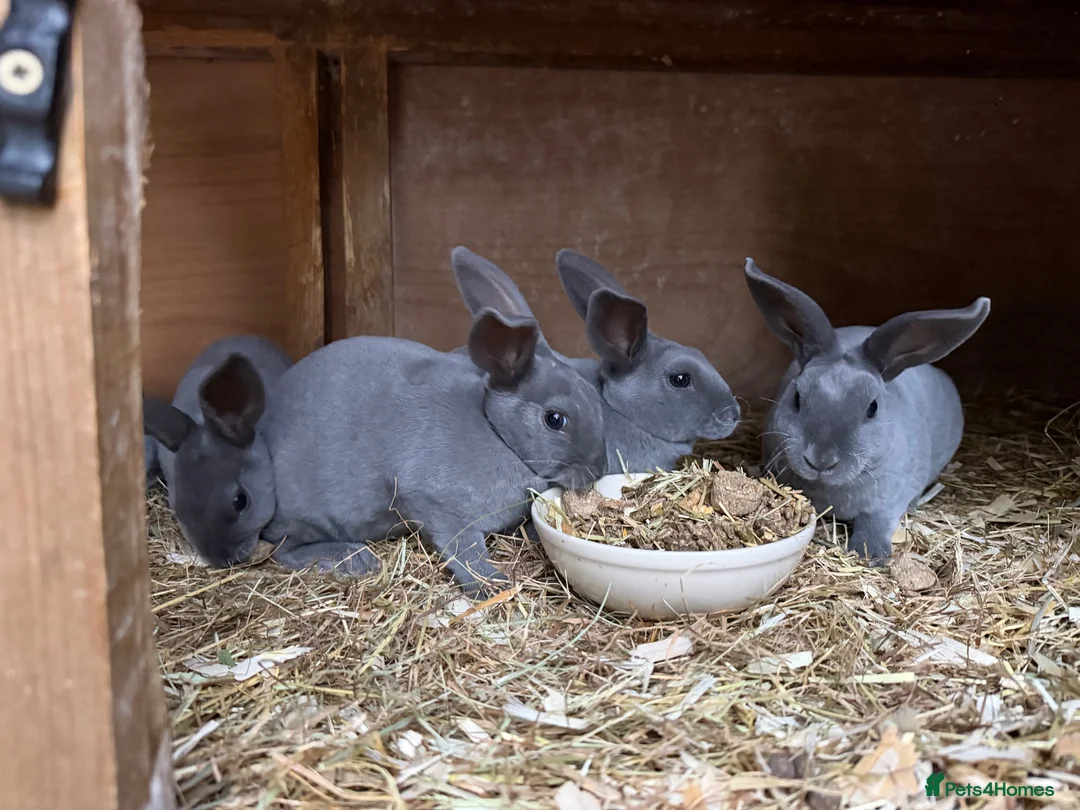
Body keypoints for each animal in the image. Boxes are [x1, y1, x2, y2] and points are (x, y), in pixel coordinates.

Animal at [257, 246, 608, 597]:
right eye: (555, 419)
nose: (598, 470)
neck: (495, 431)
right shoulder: (437, 505)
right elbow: (464, 550)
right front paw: (492, 584)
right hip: (306, 516)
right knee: (284, 550)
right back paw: (352, 558)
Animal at [744, 258, 990, 564]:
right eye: (797, 397)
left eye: (872, 407)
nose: (820, 460)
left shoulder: (889, 500)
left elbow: (875, 522)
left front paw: (870, 553)